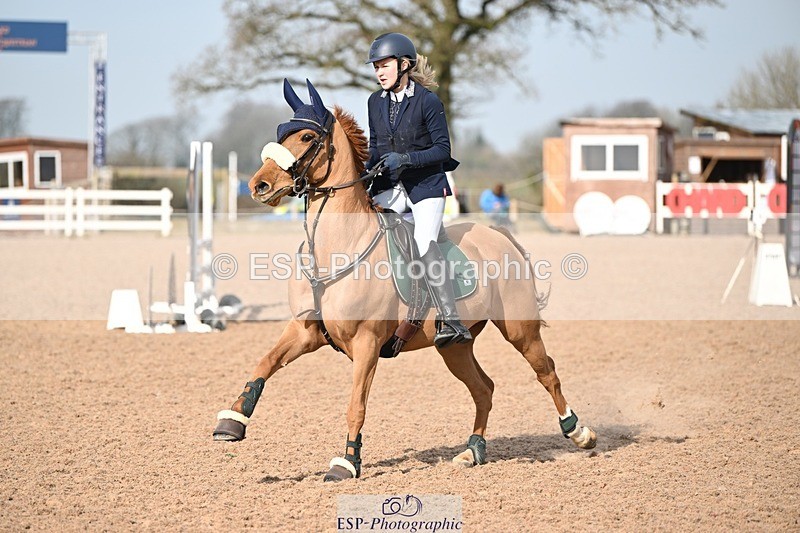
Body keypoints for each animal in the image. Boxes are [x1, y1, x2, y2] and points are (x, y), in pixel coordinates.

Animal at [213, 79, 596, 482]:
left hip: (520, 329)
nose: (259, 185)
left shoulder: (366, 343)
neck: (337, 251)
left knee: (546, 372)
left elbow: (356, 404)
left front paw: (346, 462)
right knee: (484, 388)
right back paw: (472, 451)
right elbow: (264, 363)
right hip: (455, 347)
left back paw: (579, 432)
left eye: (305, 136)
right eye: (280, 133)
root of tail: (497, 234)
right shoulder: (305, 330)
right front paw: (232, 421)